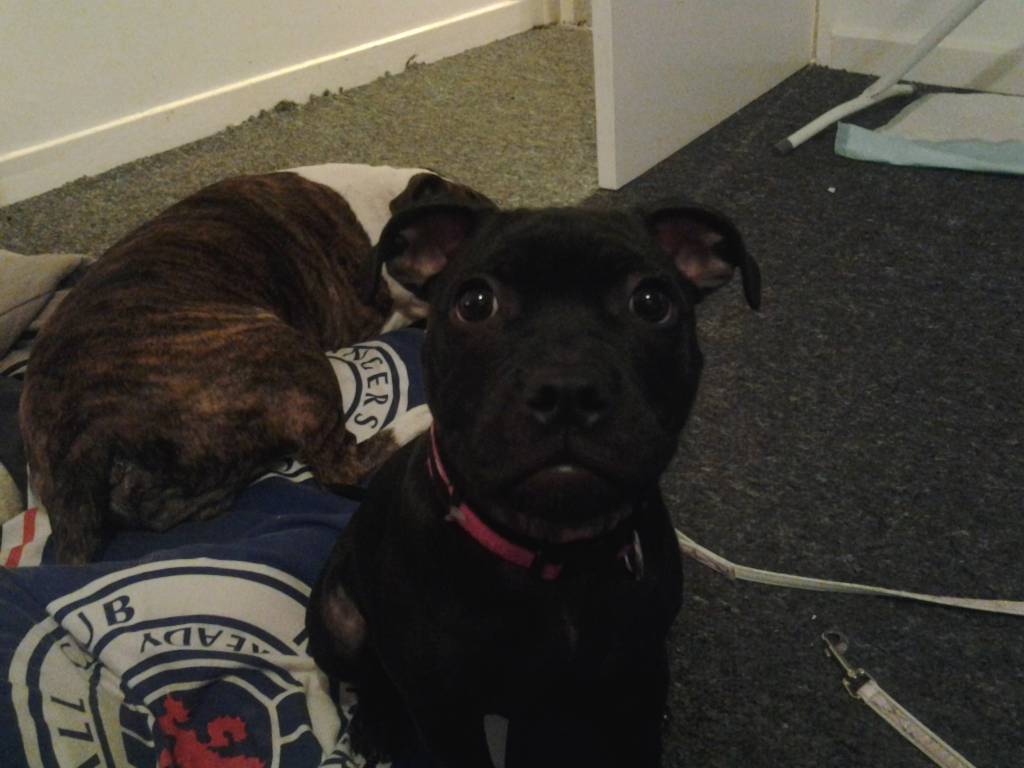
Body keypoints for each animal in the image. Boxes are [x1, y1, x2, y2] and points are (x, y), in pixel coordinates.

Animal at [305, 196, 761, 767]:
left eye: (651, 302)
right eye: (475, 302)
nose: (567, 389)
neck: (552, 551)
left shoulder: (637, 679)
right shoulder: (445, 713)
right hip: (338, 622)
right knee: (371, 672)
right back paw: (378, 720)